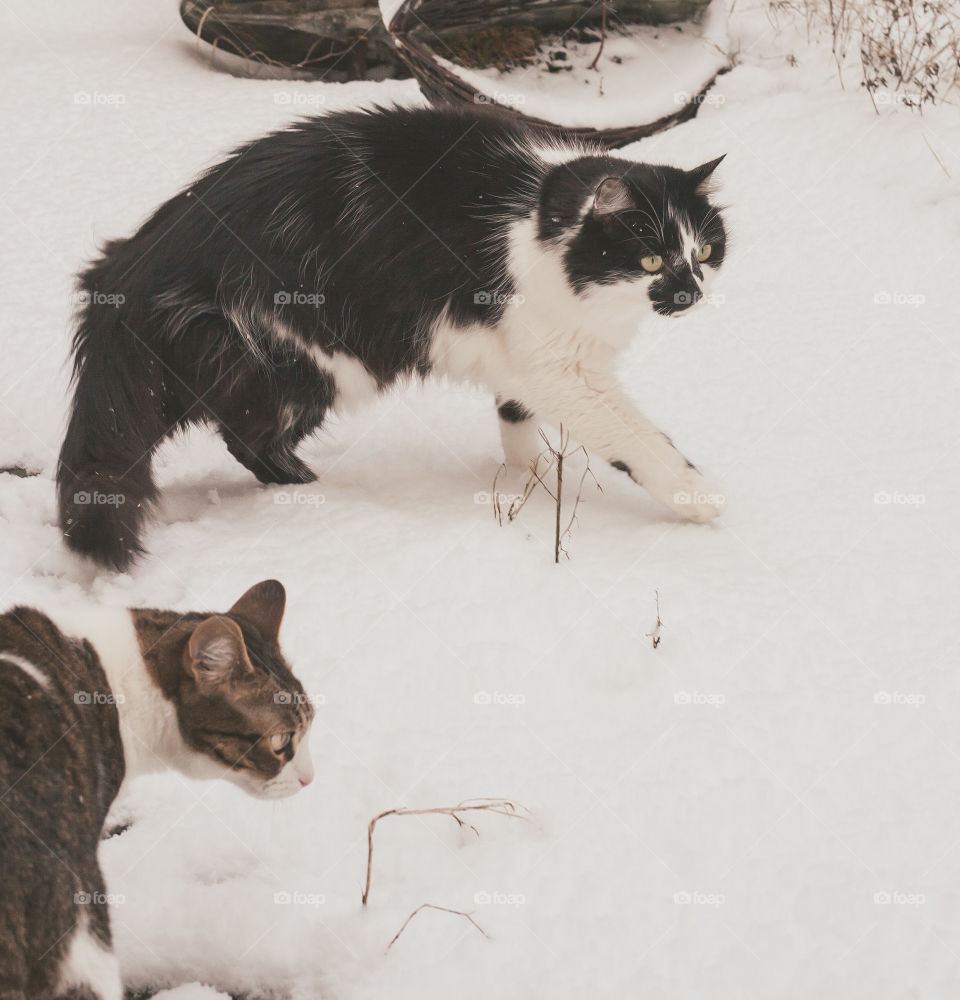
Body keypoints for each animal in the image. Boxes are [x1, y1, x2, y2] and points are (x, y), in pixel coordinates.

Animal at [56, 106, 724, 572]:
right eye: (651, 259)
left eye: (704, 252)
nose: (690, 295)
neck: (541, 218)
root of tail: (131, 268)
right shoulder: (563, 368)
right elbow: (636, 438)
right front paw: (697, 497)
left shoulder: (524, 357)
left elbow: (516, 418)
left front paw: (525, 481)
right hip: (318, 362)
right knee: (247, 438)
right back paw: (322, 492)